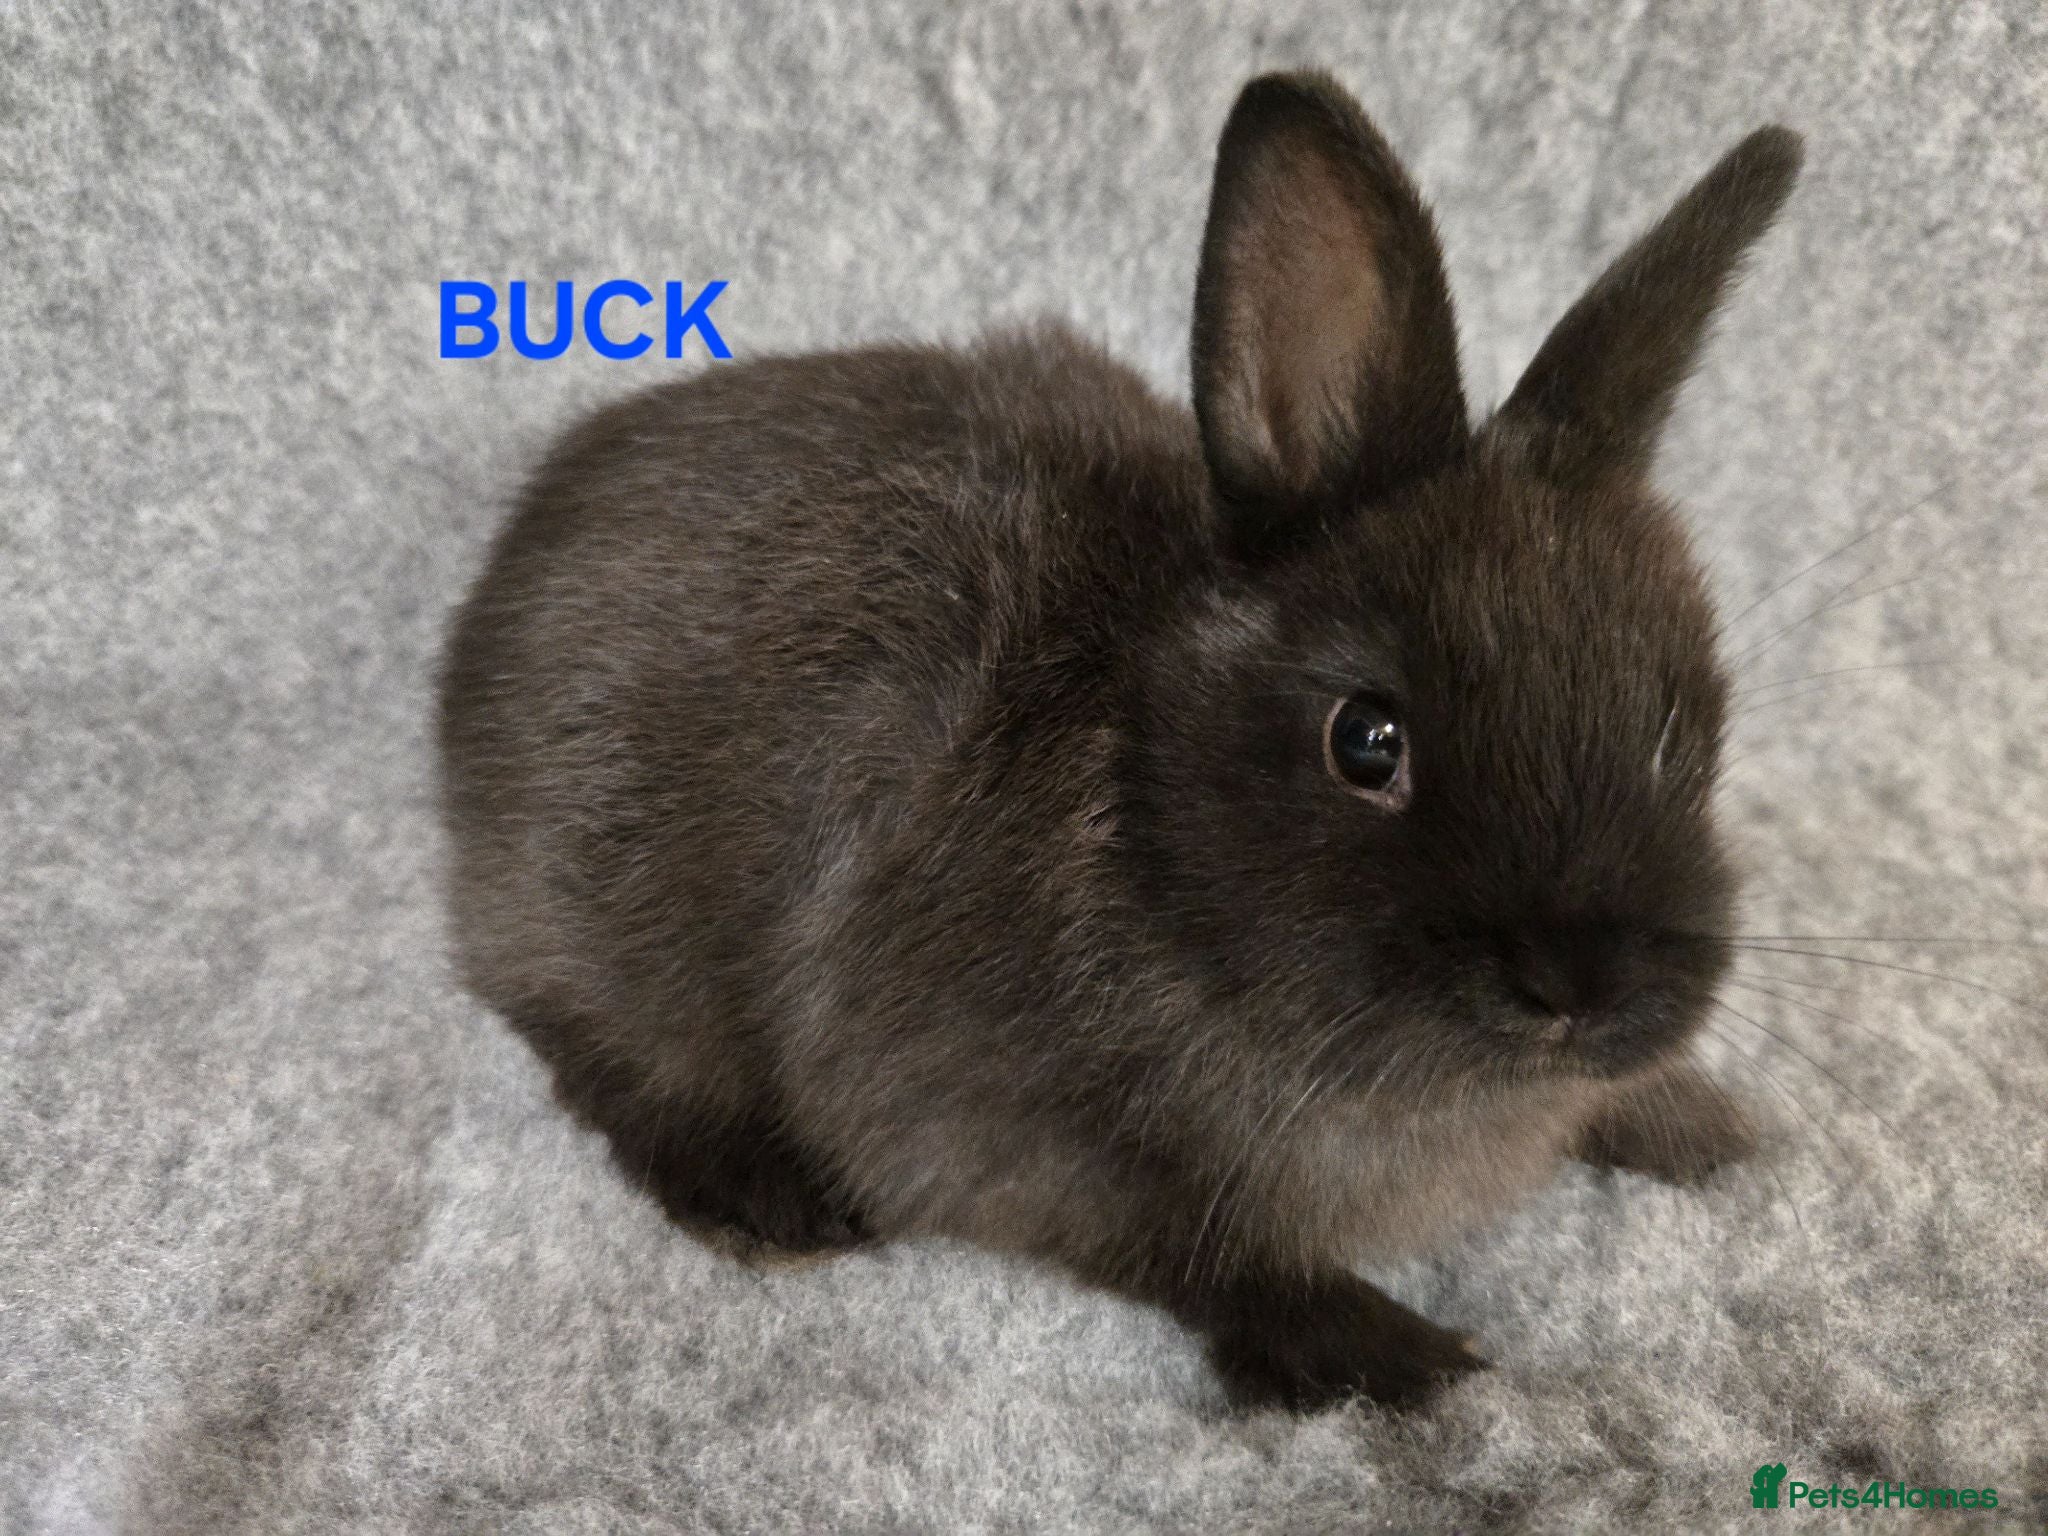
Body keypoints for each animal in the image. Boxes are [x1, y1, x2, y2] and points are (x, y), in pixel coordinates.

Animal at [436, 70, 1800, 1411]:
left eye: (1675, 732)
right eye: (1365, 742)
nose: (1581, 991)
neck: (1149, 827)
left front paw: (1713, 1132)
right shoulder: (980, 1124)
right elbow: (1199, 1250)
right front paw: (1390, 1354)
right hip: (598, 910)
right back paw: (766, 1202)